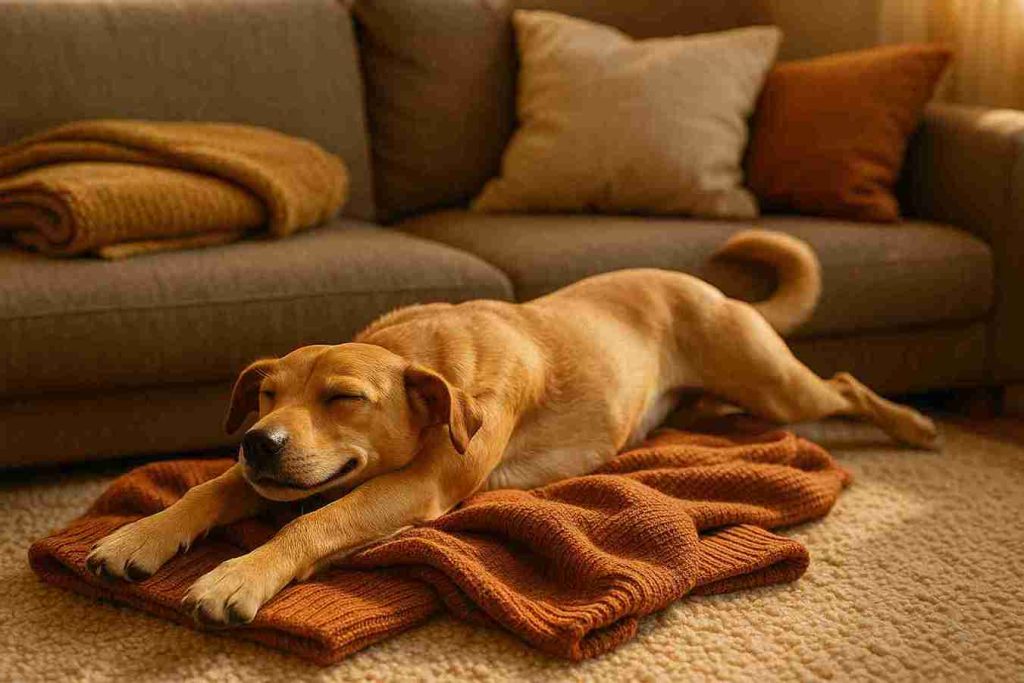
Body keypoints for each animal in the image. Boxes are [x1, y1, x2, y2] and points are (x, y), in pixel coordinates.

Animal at [86, 229, 938, 625]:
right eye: (264, 395)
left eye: (344, 397)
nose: (258, 440)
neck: (421, 356)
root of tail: (702, 284)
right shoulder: (262, 473)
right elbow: (201, 493)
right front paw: (138, 538)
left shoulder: (418, 487)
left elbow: (309, 522)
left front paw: (237, 574)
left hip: (777, 385)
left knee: (844, 384)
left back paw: (914, 425)